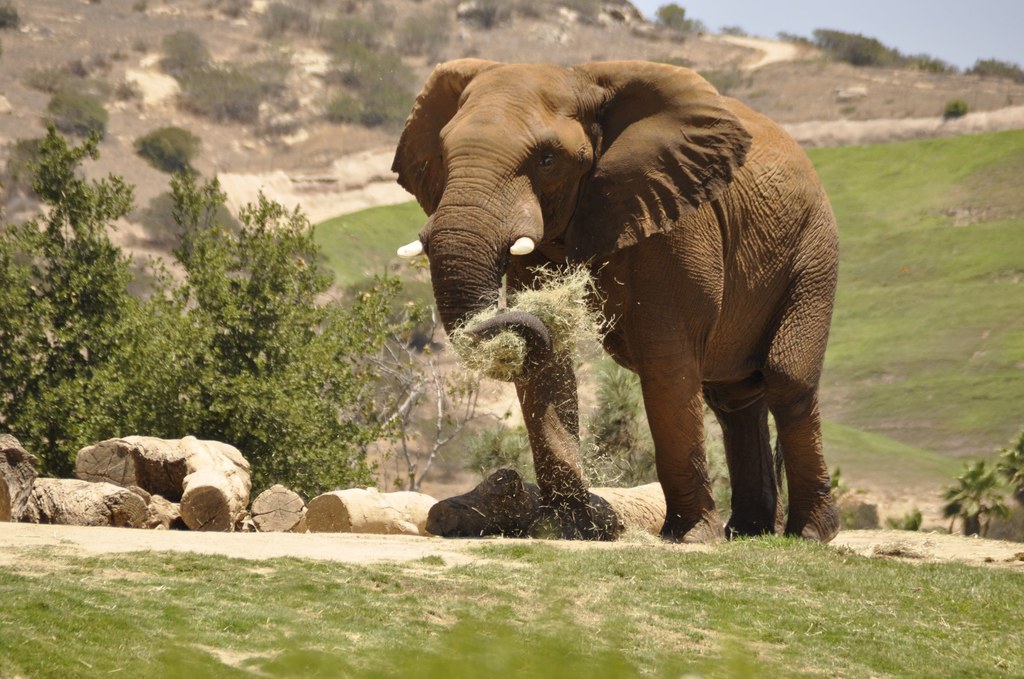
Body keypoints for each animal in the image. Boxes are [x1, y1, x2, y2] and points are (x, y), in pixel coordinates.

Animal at [391, 59, 839, 548]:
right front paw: (565, 528)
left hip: (813, 251)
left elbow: (665, 356)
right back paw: (748, 532)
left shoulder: (677, 216)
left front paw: (687, 538)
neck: (580, 76)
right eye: (442, 154)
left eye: (547, 160)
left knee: (785, 380)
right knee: (733, 398)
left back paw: (809, 535)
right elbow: (549, 358)